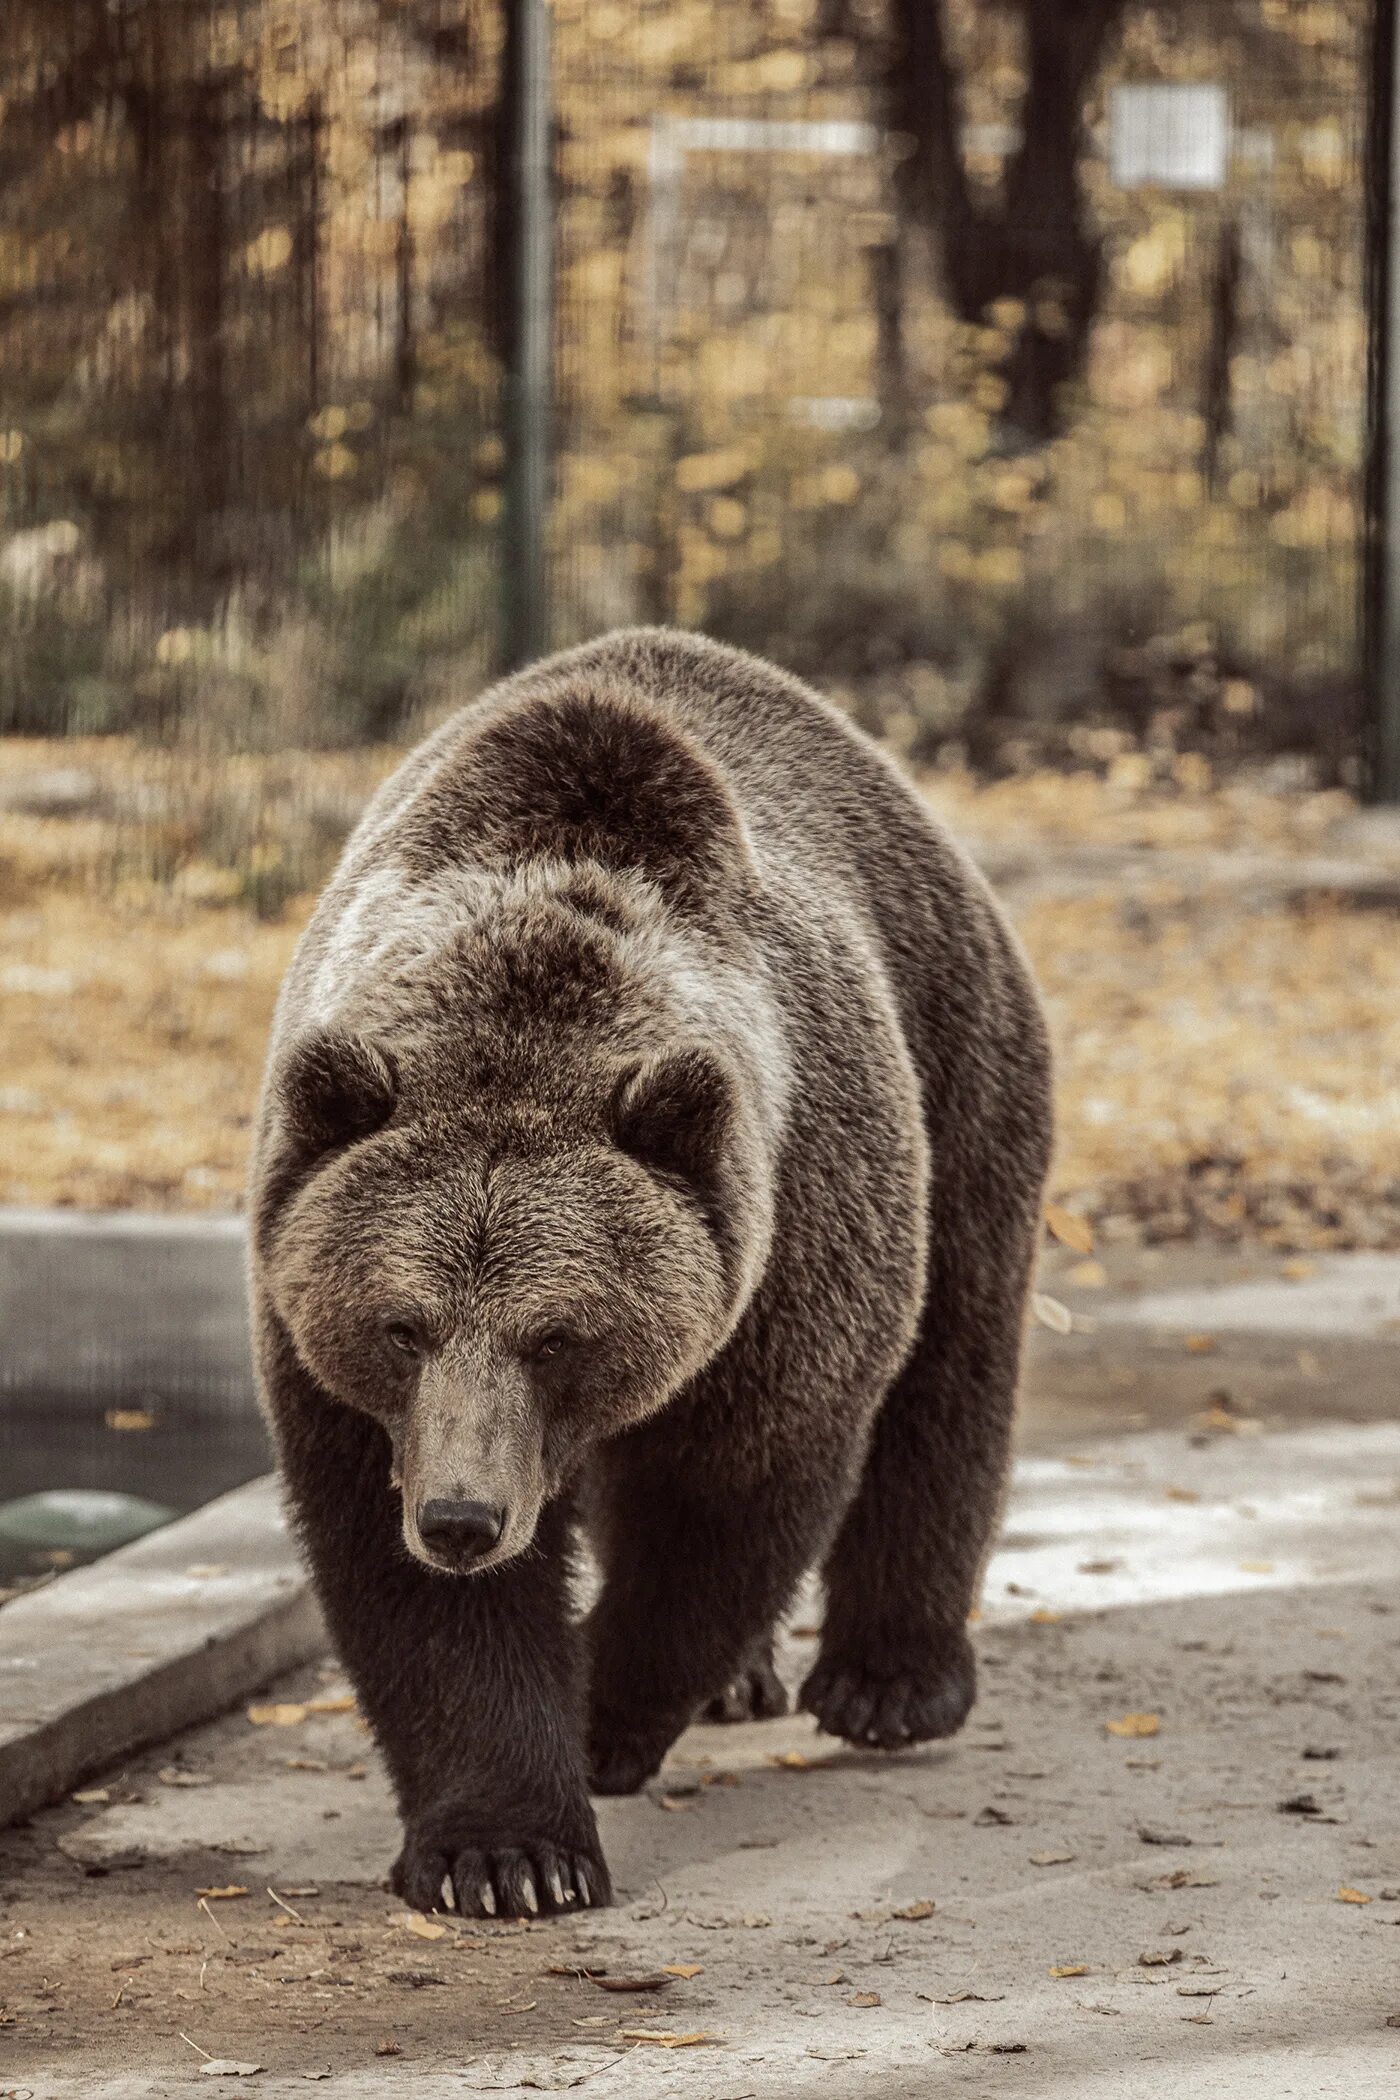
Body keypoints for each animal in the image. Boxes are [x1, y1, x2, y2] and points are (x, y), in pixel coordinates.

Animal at [251, 621, 1057, 1923]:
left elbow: (726, 1497)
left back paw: (888, 1681)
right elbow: (400, 1581)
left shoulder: (786, 1244)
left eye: (557, 1334)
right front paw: (505, 1850)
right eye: (398, 1326)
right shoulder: (335, 1356)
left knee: (953, 1358)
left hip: (957, 1068)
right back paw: (749, 1684)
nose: (464, 1519)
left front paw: (599, 1718)